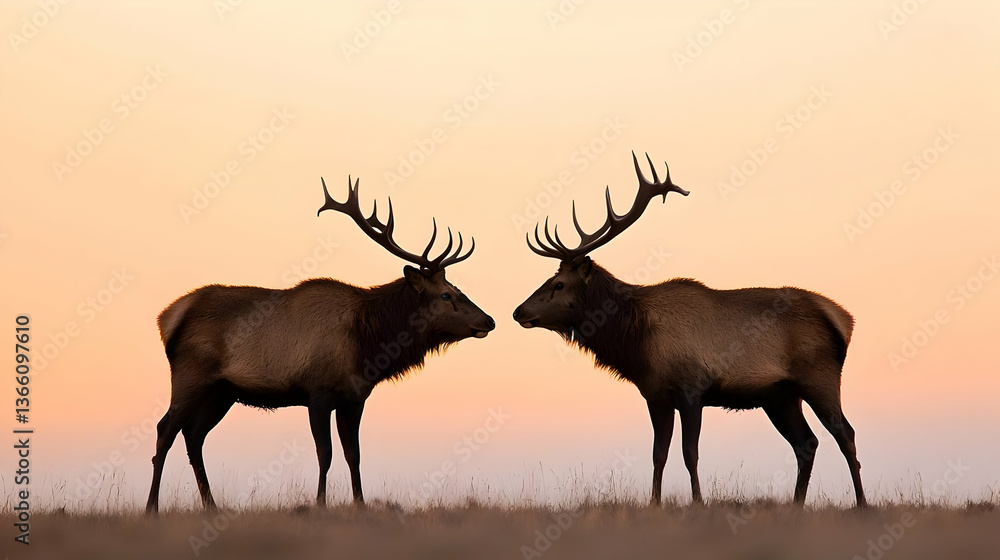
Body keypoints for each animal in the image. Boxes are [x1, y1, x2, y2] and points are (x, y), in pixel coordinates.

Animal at [145, 176, 495, 514]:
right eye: (447, 294)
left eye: (458, 289)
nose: (489, 320)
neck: (368, 344)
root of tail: (167, 318)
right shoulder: (318, 391)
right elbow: (324, 453)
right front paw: (320, 503)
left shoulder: (355, 397)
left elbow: (354, 454)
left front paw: (360, 504)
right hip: (192, 376)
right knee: (165, 430)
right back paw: (152, 508)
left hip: (222, 392)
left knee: (193, 435)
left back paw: (211, 506)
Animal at [512, 153, 866, 508]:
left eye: (559, 284)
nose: (518, 311)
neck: (636, 343)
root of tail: (843, 320)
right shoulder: (655, 395)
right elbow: (659, 454)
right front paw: (654, 503)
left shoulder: (692, 388)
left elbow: (689, 453)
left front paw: (698, 501)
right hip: (780, 396)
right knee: (806, 443)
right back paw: (797, 504)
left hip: (818, 375)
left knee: (845, 434)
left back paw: (861, 503)